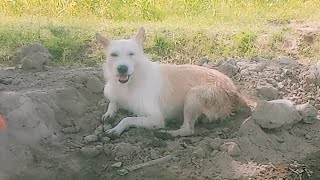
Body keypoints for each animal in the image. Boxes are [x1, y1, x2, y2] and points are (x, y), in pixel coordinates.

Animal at [95, 26, 252, 137]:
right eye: (114, 55)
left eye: (131, 54)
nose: (122, 68)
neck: (130, 82)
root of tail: (234, 91)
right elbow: (113, 102)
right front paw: (109, 113)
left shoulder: (156, 118)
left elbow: (128, 119)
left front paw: (116, 129)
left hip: (193, 95)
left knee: (187, 130)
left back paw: (168, 134)